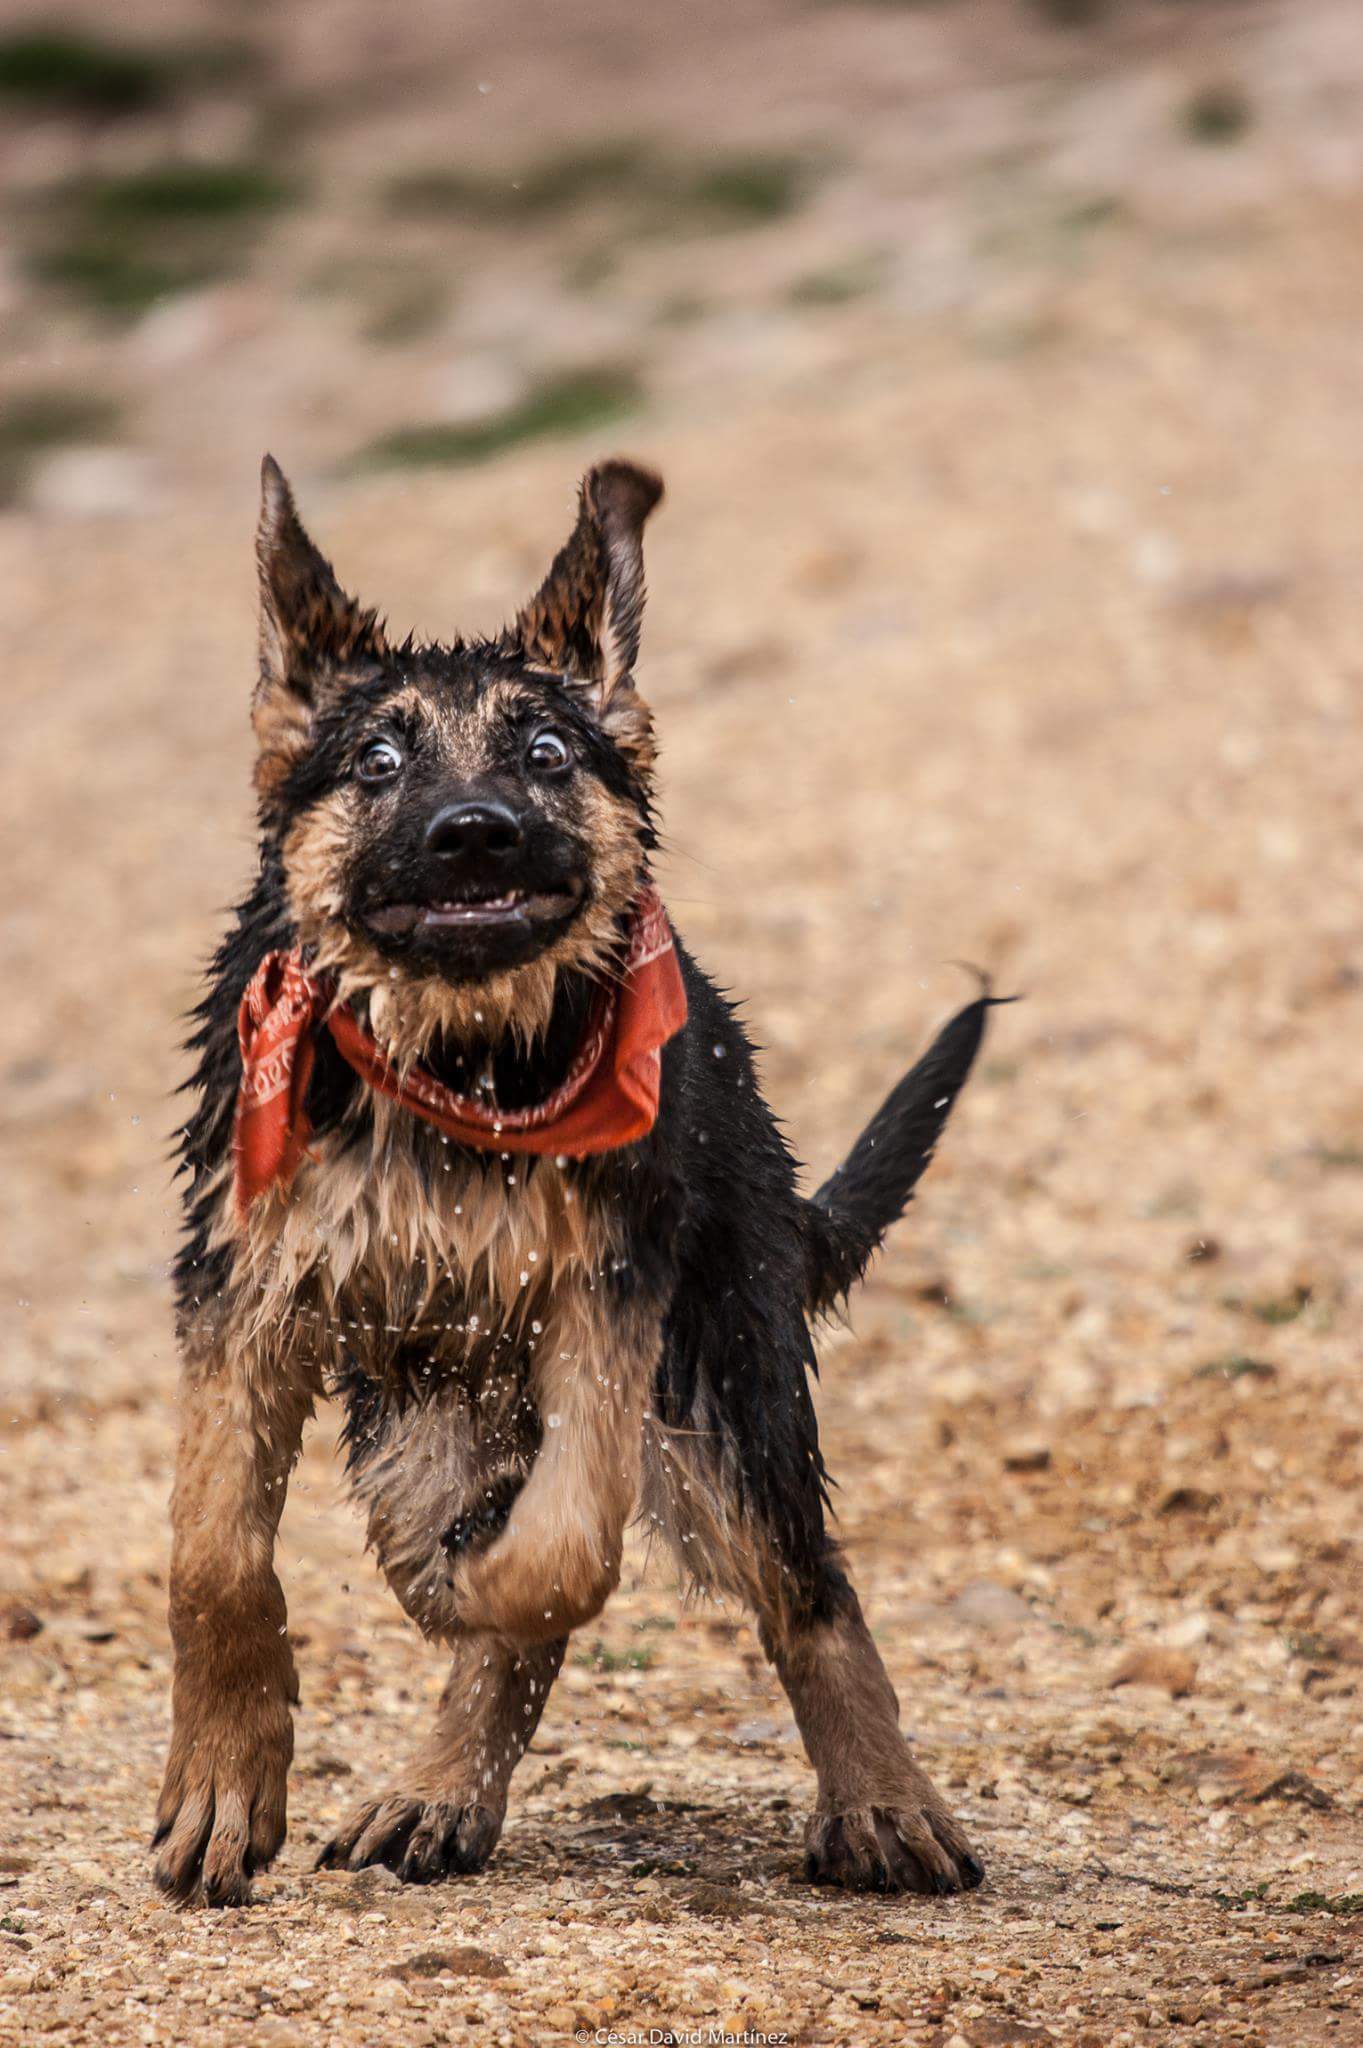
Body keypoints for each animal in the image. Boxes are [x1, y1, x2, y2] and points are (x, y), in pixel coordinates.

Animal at [156, 448, 998, 1900]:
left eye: (546, 754)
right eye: (376, 760)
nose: (474, 835)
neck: (459, 1061)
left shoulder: (605, 1297)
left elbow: (560, 1553)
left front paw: (479, 1583)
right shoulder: (247, 1286)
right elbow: (215, 1553)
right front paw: (221, 1782)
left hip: (723, 1376)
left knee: (806, 1584)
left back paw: (884, 1802)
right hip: (422, 1408)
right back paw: (443, 1784)